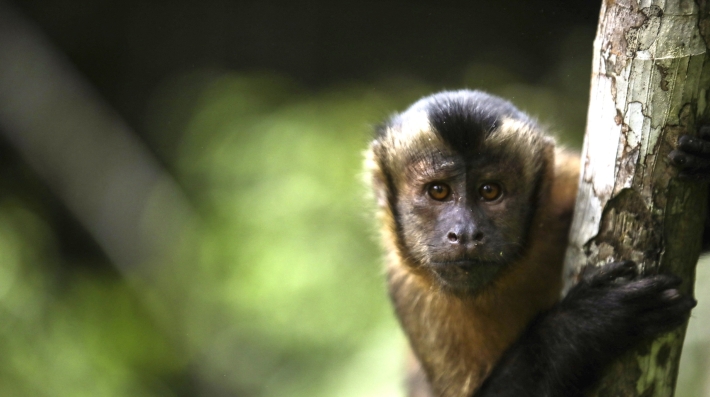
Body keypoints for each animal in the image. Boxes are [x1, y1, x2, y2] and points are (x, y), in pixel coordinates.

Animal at [368, 89, 710, 396]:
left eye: (490, 191)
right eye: (438, 191)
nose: (465, 233)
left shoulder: (566, 185)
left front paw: (702, 158)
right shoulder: (412, 298)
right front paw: (590, 323)